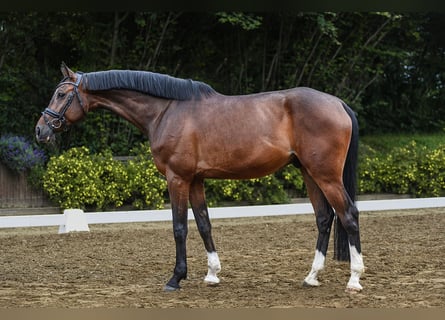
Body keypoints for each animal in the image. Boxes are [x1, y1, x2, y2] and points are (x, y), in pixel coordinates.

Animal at [35, 62, 364, 292]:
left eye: (61, 94)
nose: (41, 130)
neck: (166, 111)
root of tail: (338, 103)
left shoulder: (177, 179)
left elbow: (179, 227)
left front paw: (175, 278)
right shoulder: (195, 179)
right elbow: (204, 223)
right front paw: (212, 274)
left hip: (326, 175)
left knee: (348, 214)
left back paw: (355, 279)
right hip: (309, 173)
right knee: (324, 218)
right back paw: (311, 277)